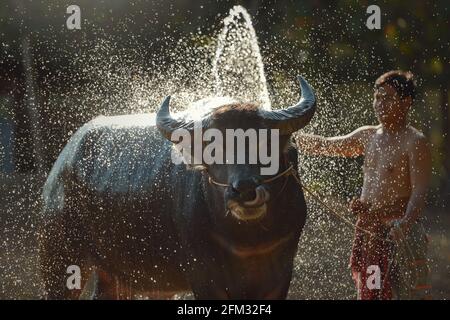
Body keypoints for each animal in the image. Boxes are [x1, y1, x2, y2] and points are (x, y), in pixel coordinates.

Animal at [39, 76, 316, 298]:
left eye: (265, 144)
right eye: (213, 147)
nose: (244, 190)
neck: (249, 241)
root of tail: (61, 166)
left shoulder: (281, 275)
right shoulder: (204, 277)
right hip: (59, 261)